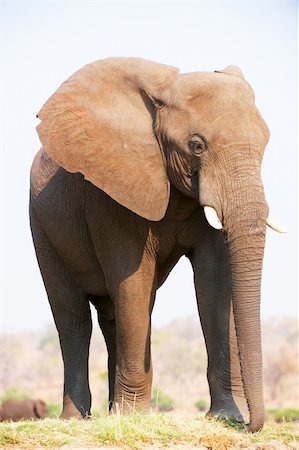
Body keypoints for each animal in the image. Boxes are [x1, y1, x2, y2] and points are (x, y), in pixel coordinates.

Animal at [29, 57, 284, 432]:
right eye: (196, 145)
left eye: (266, 142)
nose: (250, 425)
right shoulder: (111, 195)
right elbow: (132, 281)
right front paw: (132, 417)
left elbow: (214, 280)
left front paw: (224, 416)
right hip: (42, 226)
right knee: (73, 318)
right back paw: (77, 419)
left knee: (114, 316)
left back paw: (110, 411)